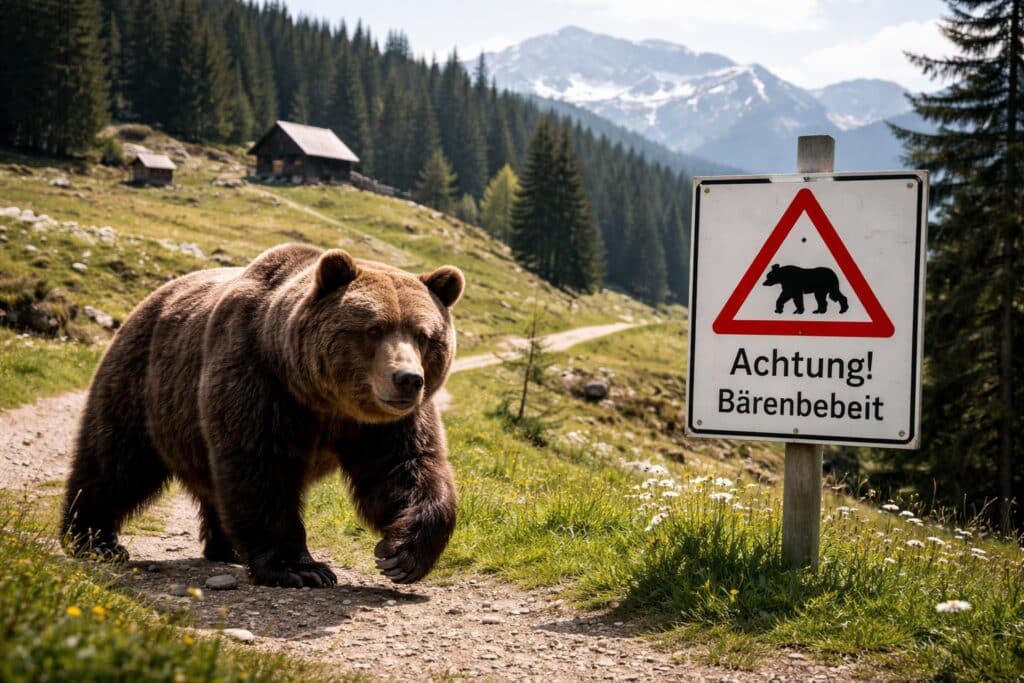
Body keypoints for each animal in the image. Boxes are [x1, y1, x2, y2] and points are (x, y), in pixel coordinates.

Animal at [61, 243, 464, 588]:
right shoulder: (259, 377)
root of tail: (151, 299)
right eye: (374, 328)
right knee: (116, 462)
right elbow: (261, 465)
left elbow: (404, 466)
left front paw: (402, 554)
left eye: (424, 335)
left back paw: (228, 548)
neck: (323, 400)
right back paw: (93, 539)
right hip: (144, 384)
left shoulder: (381, 423)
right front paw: (300, 569)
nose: (407, 379)